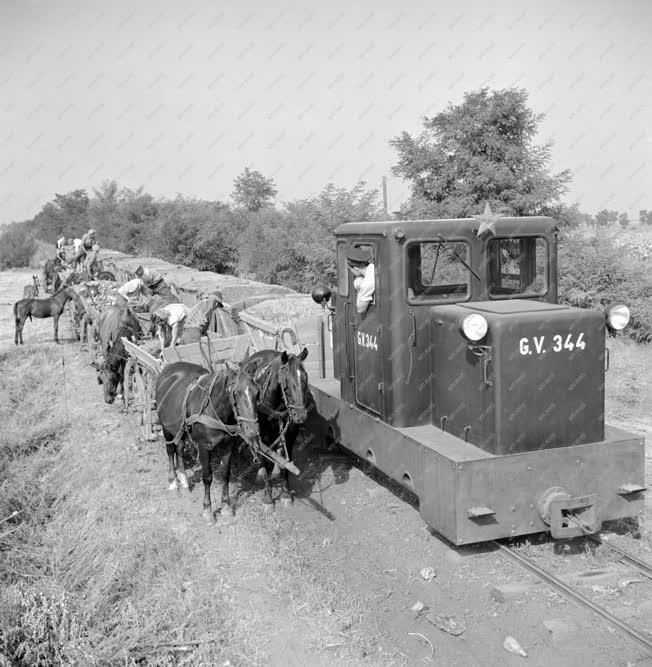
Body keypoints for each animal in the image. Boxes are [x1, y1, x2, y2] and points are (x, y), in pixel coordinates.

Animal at [157, 362, 262, 524]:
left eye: (257, 393)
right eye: (236, 394)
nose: (252, 430)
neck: (215, 411)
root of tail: (168, 369)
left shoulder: (228, 444)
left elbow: (225, 474)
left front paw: (226, 508)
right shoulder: (204, 447)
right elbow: (207, 477)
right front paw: (207, 511)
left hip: (181, 429)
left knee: (179, 448)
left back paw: (184, 482)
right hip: (166, 428)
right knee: (170, 450)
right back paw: (173, 484)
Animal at [242, 348, 310, 508]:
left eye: (305, 378)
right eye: (287, 381)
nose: (300, 416)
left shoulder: (290, 437)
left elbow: (286, 461)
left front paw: (285, 493)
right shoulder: (263, 439)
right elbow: (265, 463)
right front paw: (268, 497)